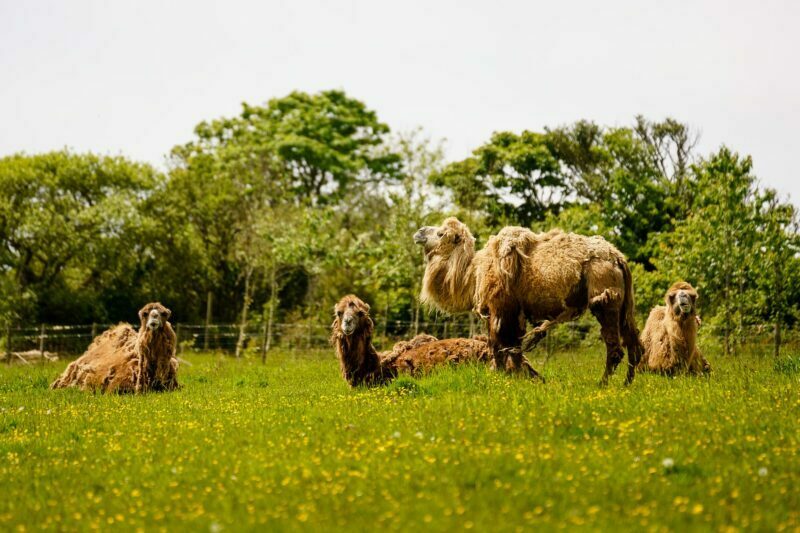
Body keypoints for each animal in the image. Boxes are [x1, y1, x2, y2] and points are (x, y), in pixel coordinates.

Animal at [414, 217, 644, 385]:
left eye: (440, 233)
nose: (419, 232)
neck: (472, 272)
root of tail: (618, 258)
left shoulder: (499, 309)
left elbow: (498, 346)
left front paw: (499, 379)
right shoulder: (516, 313)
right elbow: (513, 348)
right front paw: (519, 379)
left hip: (604, 294)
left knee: (615, 347)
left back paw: (602, 384)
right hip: (622, 302)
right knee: (633, 341)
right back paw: (627, 383)